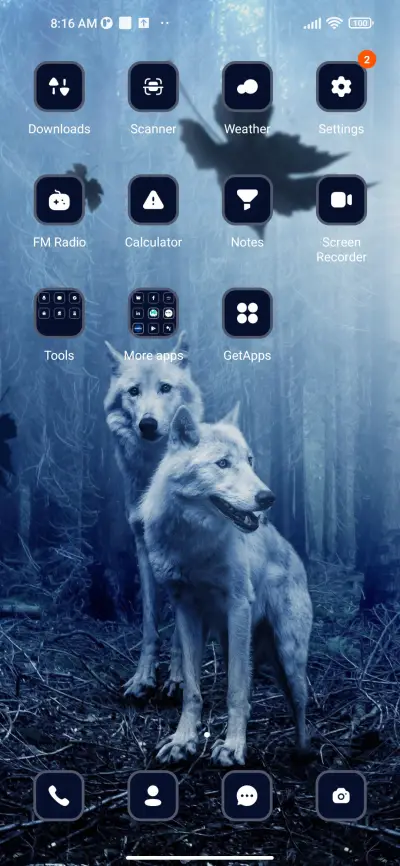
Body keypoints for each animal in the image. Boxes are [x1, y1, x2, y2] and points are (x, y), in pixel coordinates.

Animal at [104, 334, 203, 698]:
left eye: (165, 388)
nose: (147, 424)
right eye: (133, 391)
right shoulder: (143, 548)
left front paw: (177, 679)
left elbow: (180, 630)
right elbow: (149, 622)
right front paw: (143, 678)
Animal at [141, 405, 313, 765]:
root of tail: (294, 555)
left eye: (250, 461)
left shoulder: (238, 607)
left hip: (288, 654)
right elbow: (192, 690)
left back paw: (303, 753)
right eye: (222, 463)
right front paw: (183, 741)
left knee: (300, 703)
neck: (193, 544)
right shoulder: (185, 611)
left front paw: (233, 747)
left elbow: (235, 690)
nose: (268, 497)